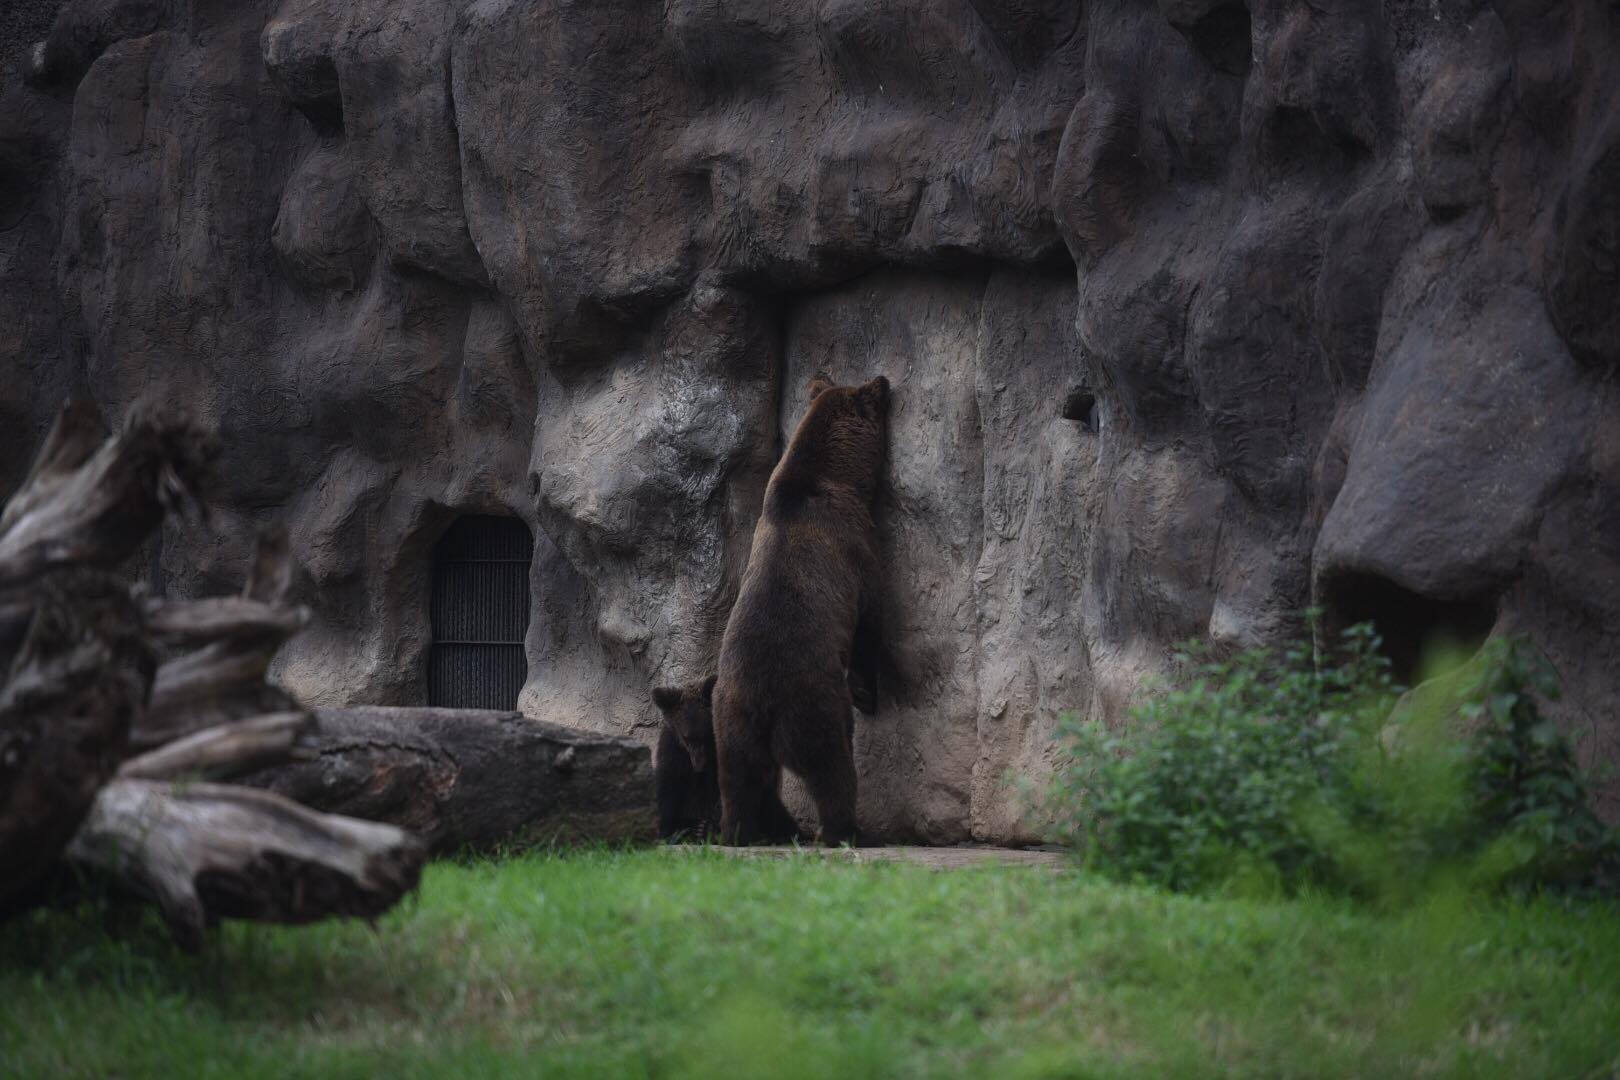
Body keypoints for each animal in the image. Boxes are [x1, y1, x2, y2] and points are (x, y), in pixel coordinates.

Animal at [712, 372, 894, 841]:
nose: (883, 380)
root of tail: (761, 702)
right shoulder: (855, 545)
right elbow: (871, 620)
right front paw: (871, 692)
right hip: (812, 700)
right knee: (831, 768)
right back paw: (845, 831)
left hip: (731, 718)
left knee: (741, 780)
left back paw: (742, 831)